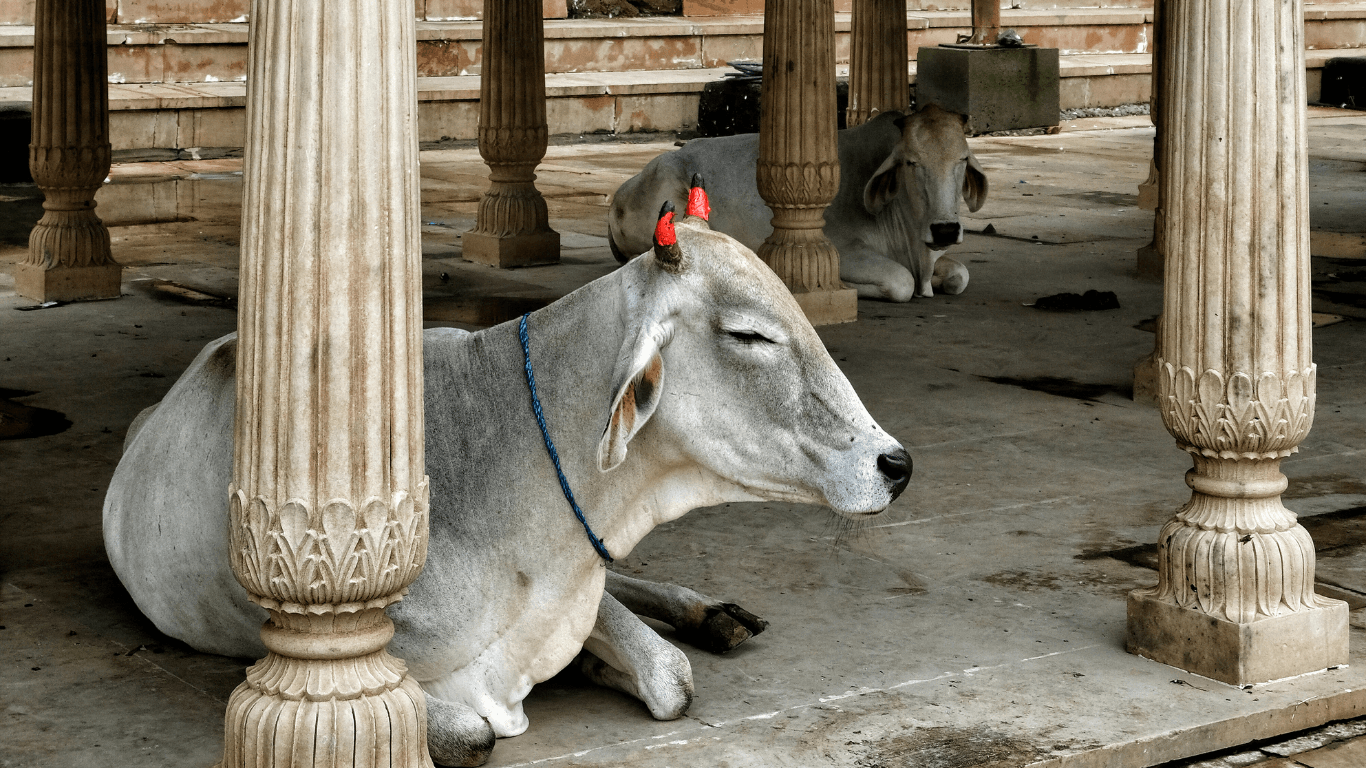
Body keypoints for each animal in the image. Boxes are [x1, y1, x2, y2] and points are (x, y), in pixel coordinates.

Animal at [103, 193, 912, 767]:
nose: (895, 464)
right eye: (749, 335)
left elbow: (669, 676)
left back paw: (710, 610)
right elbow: (473, 735)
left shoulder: (579, 575)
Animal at [608, 104, 988, 301]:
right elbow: (901, 282)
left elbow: (961, 274)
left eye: (963, 159)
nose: (945, 229)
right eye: (911, 162)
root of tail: (621, 194)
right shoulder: (845, 249)